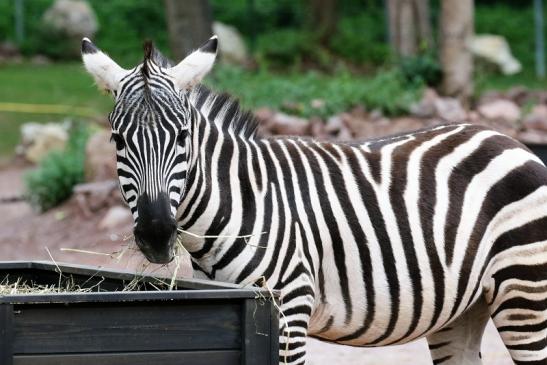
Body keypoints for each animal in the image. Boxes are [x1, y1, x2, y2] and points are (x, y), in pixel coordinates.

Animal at [82, 34, 547, 364]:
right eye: (117, 140)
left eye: (182, 137)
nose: (157, 235)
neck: (241, 203)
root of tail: (509, 140)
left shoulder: (288, 310)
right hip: (466, 307)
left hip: (526, 295)